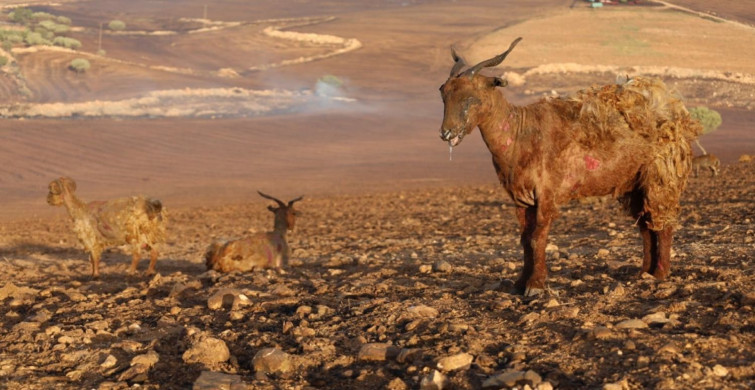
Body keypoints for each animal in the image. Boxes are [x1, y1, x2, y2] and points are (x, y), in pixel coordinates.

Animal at [440, 38, 704, 296]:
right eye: (443, 93)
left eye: (471, 97)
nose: (446, 133)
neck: (520, 134)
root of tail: (677, 115)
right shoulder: (521, 199)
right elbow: (524, 240)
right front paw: (519, 284)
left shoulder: (547, 194)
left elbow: (537, 238)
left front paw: (535, 286)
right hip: (635, 184)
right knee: (646, 225)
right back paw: (644, 273)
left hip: (661, 178)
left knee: (663, 224)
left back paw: (660, 274)